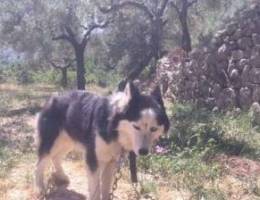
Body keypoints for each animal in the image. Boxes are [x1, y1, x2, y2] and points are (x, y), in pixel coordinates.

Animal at [35, 81, 170, 200]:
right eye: (136, 126)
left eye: (153, 129)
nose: (143, 152)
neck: (113, 128)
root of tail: (53, 96)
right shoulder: (93, 160)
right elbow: (96, 190)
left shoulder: (111, 162)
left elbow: (106, 188)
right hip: (51, 142)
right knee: (40, 163)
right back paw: (41, 189)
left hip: (67, 142)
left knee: (55, 157)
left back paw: (62, 177)